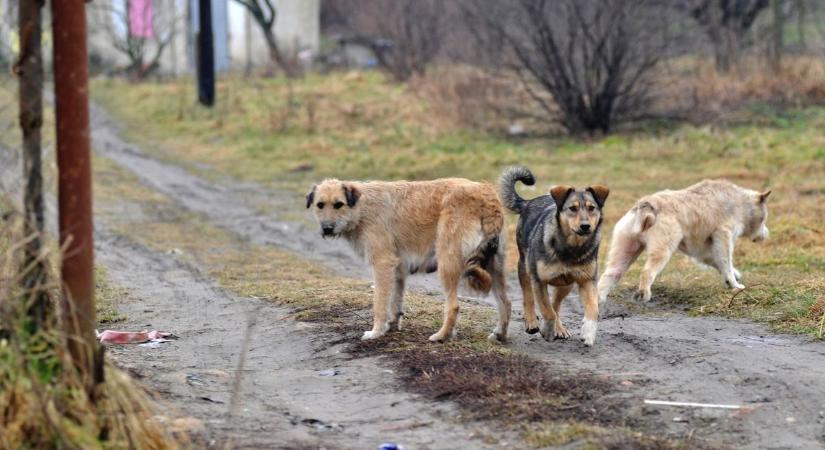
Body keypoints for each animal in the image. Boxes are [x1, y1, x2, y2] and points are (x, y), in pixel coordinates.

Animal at [306, 178, 512, 342]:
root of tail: (487, 196)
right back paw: (500, 334)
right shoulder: (397, 269)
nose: (327, 228)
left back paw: (441, 336)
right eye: (320, 205)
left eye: (338, 204)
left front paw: (376, 332)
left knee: (453, 306)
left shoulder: (382, 264)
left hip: (448, 264)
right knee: (506, 303)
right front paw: (391, 325)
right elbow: (395, 301)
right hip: (494, 268)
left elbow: (379, 303)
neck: (362, 206)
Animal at [498, 167, 608, 346]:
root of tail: (529, 202)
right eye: (572, 208)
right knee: (529, 296)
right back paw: (531, 322)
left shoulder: (587, 280)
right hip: (524, 266)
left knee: (556, 304)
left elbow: (593, 309)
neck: (572, 248)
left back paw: (559, 328)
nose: (585, 226)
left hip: (566, 284)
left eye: (592, 208)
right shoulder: (539, 279)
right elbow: (546, 310)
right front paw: (547, 330)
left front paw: (588, 333)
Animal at [596, 178, 768, 304]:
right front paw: (735, 285)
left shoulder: (703, 251)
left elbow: (719, 263)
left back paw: (599, 299)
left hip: (625, 248)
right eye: (765, 217)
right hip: (663, 250)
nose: (766, 235)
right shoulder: (723, 236)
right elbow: (726, 263)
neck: (740, 202)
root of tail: (646, 204)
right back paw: (644, 294)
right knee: (647, 272)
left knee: (611, 274)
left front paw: (734, 277)